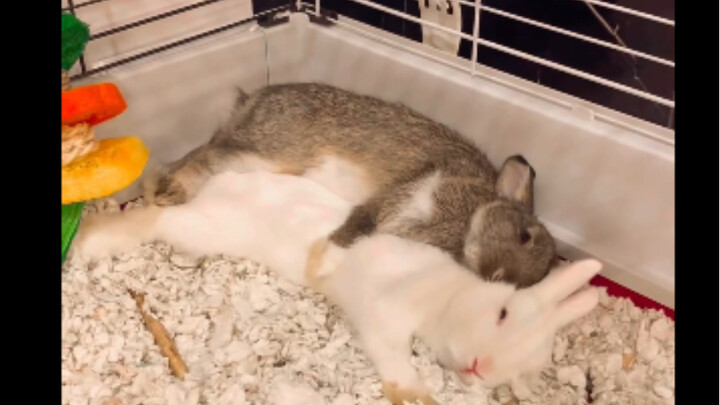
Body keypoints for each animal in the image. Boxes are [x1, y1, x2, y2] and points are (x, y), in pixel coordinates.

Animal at [145, 82, 557, 288]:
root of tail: (254, 100)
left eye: (531, 283)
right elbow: (358, 226)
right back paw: (168, 190)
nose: (496, 278)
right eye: (525, 235)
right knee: (208, 155)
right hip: (266, 153)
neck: (475, 207)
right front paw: (322, 264)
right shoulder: (408, 193)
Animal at [306, 234, 602, 405]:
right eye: (503, 313)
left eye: (523, 370)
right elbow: (391, 351)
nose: (480, 367)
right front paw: (414, 393)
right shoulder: (391, 313)